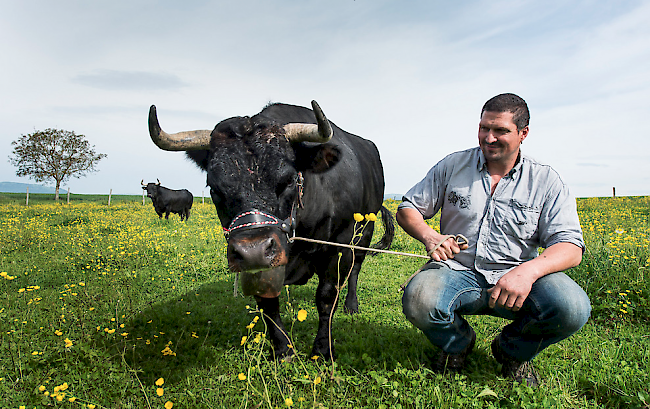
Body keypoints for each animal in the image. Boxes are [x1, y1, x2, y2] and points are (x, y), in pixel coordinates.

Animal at [148, 100, 390, 358]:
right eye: (214, 188)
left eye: (289, 180)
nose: (253, 250)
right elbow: (268, 303)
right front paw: (283, 350)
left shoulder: (339, 246)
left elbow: (326, 297)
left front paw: (322, 349)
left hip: (364, 232)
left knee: (355, 269)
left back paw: (351, 305)